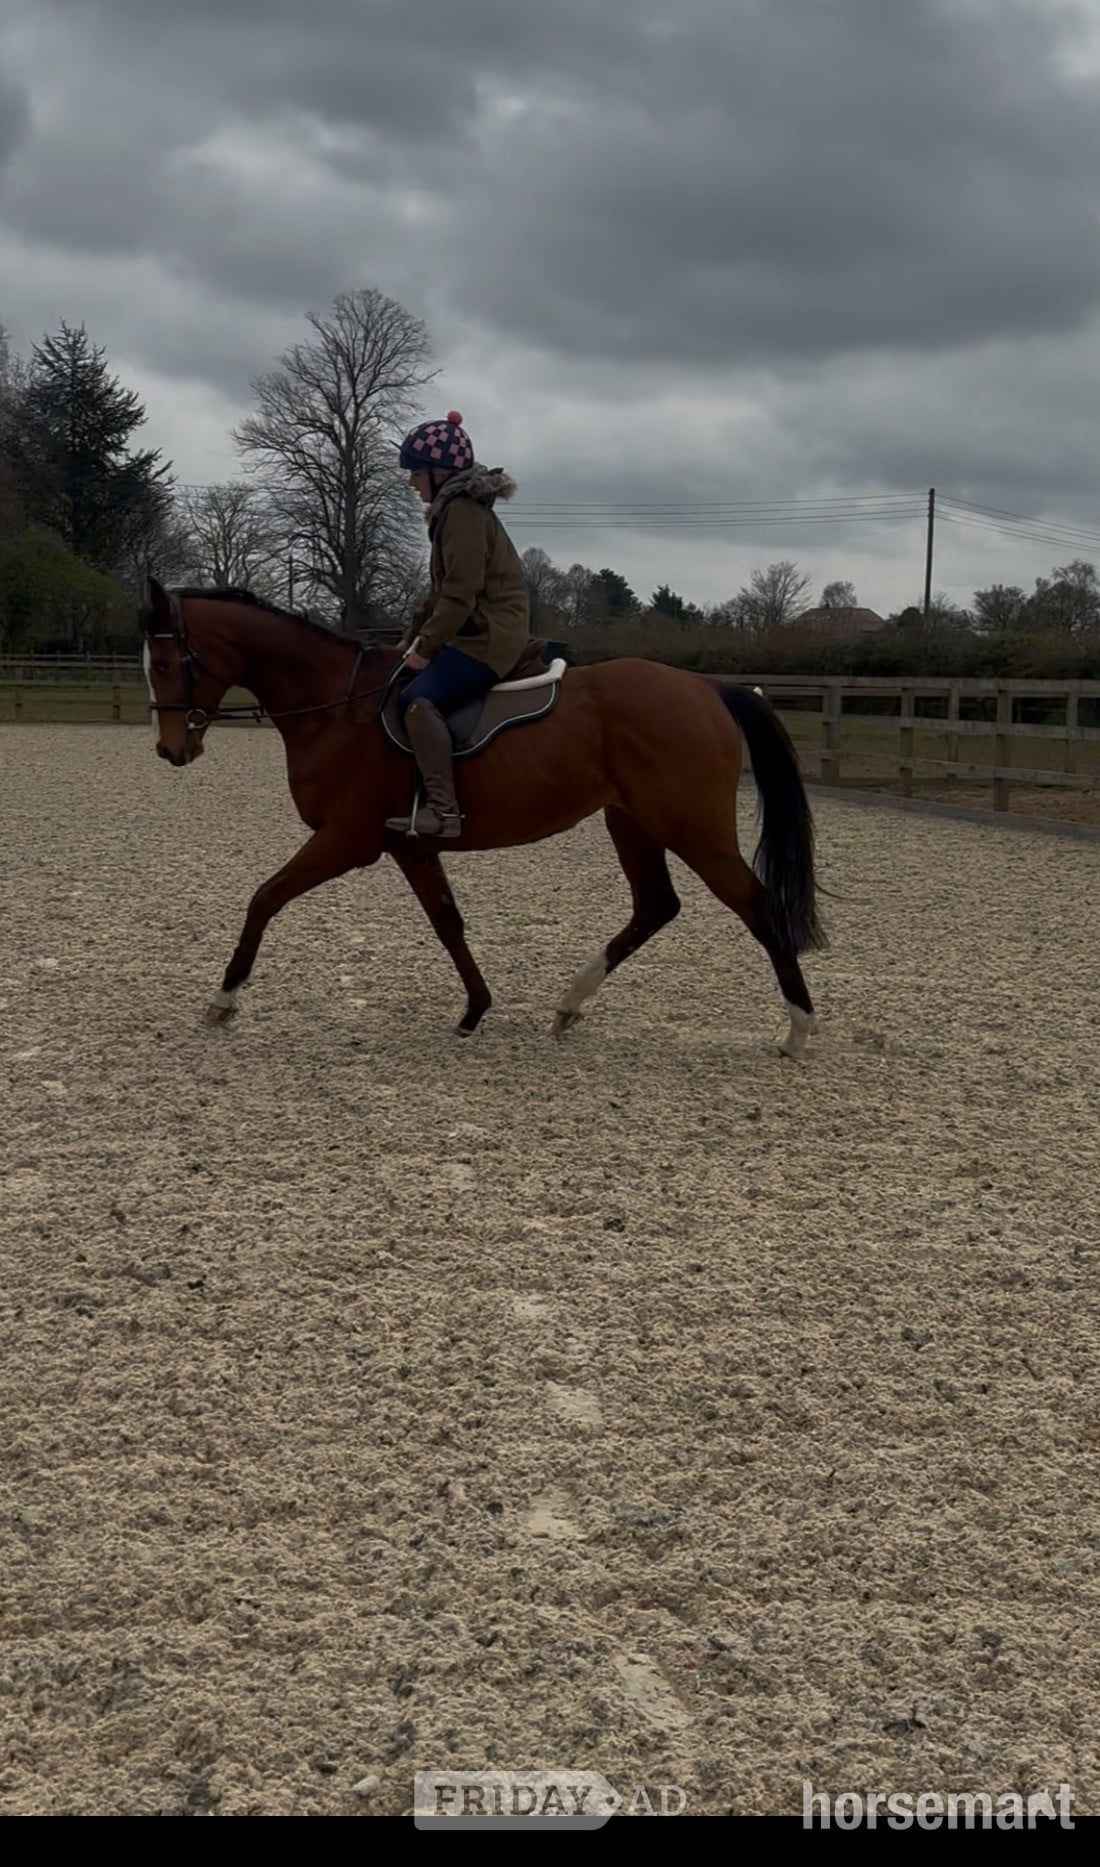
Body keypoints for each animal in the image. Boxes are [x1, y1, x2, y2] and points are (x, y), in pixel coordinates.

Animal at [140, 579, 825, 1058]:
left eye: (168, 664)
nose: (170, 750)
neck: (340, 706)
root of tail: (706, 687)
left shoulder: (346, 840)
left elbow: (265, 897)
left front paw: (224, 998)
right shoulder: (410, 846)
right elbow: (448, 922)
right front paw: (475, 1009)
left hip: (693, 830)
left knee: (756, 905)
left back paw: (798, 1030)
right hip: (633, 823)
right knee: (656, 906)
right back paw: (570, 1005)